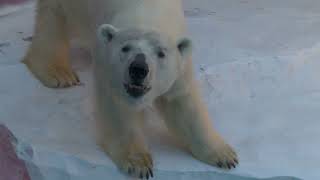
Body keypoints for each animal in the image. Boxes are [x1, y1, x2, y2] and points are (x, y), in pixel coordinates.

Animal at [22, 0, 238, 178]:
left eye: (161, 53)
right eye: (125, 48)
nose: (138, 69)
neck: (147, 14)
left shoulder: (181, 67)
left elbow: (183, 104)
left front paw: (224, 156)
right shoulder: (107, 63)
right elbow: (119, 108)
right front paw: (139, 163)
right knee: (53, 18)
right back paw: (58, 73)